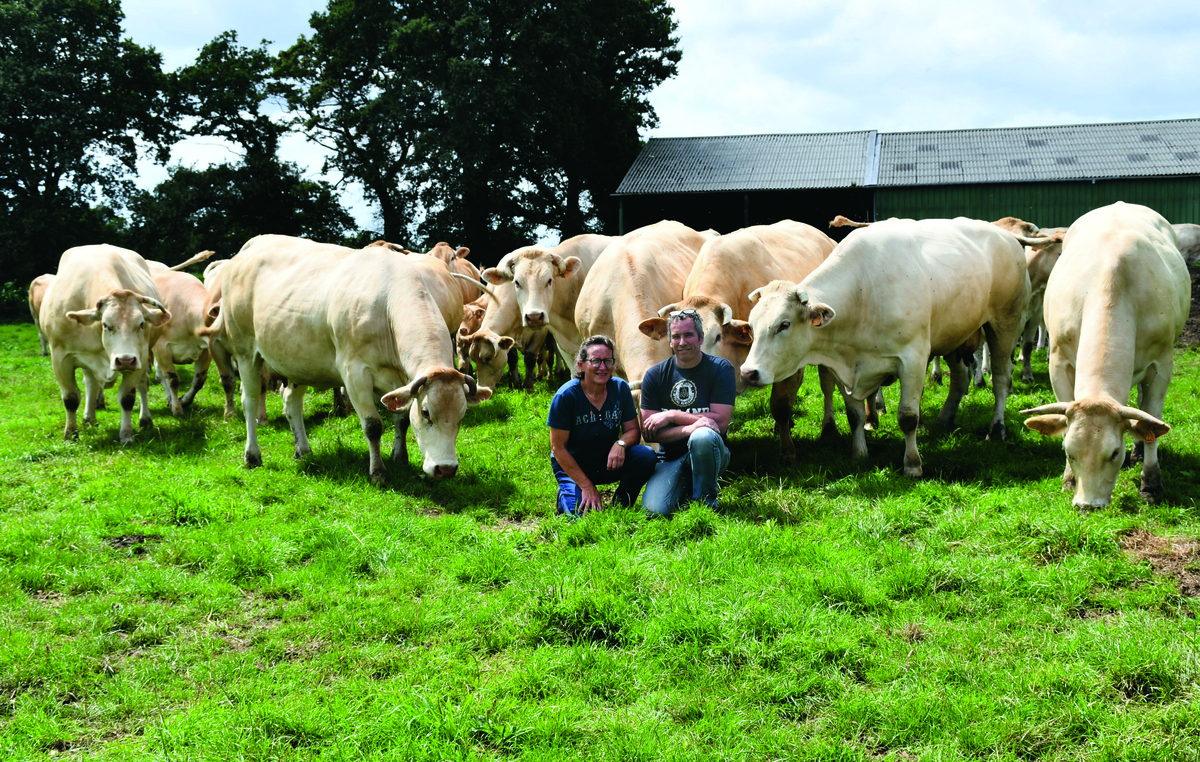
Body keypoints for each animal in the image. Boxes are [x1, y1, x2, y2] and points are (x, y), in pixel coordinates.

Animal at [38, 244, 171, 444]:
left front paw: (126, 434)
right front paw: (70, 434)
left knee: (142, 385)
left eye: (141, 324)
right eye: (106, 325)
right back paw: (89, 417)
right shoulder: (61, 358)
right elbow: (70, 398)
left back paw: (145, 420)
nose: (125, 360)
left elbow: (127, 398)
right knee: (90, 383)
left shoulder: (138, 357)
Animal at [216, 234, 487, 482]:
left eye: (462, 414)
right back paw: (252, 456)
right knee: (249, 401)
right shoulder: (354, 373)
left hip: (298, 360)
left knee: (291, 402)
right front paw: (378, 472)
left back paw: (303, 450)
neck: (386, 304)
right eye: (426, 412)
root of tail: (253, 244)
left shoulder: (402, 380)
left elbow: (401, 419)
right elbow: (373, 426)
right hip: (245, 351)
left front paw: (399, 457)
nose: (446, 469)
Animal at [1022, 202, 1190, 506]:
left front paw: (1151, 483)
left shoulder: (1161, 364)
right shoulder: (1058, 361)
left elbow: (1152, 415)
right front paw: (1068, 480)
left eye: (1114, 453)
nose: (1088, 506)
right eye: (1069, 452)